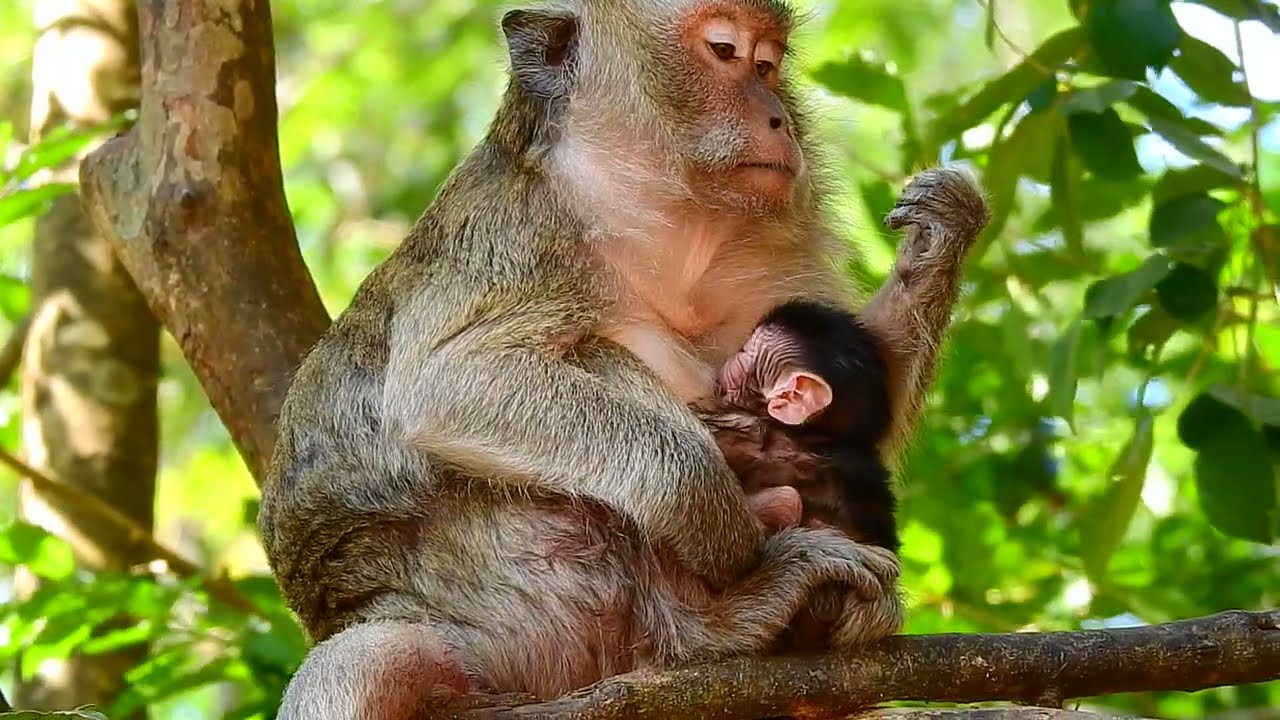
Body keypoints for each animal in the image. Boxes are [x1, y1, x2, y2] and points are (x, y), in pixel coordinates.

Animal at [255, 0, 990, 714]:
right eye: (724, 51)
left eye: (769, 63)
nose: (777, 116)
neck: (648, 220)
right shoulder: (517, 227)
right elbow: (446, 383)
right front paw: (722, 524)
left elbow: (862, 416)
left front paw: (941, 231)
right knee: (367, 662)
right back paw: (724, 614)